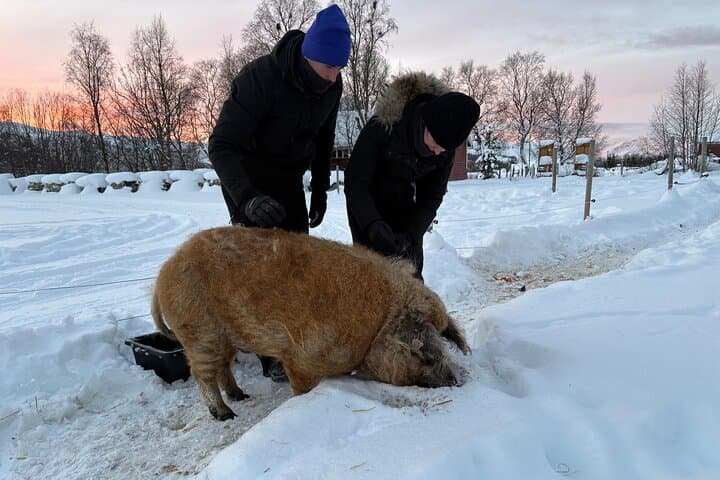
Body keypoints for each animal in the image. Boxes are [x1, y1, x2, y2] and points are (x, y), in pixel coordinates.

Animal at [151, 226, 469, 420]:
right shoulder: (302, 357)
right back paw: (226, 414)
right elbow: (302, 386)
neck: (378, 328)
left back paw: (241, 396)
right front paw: (301, 401)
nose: (454, 381)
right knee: (202, 373)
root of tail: (164, 271)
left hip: (225, 337)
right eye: (423, 355)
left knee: (222, 367)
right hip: (199, 330)